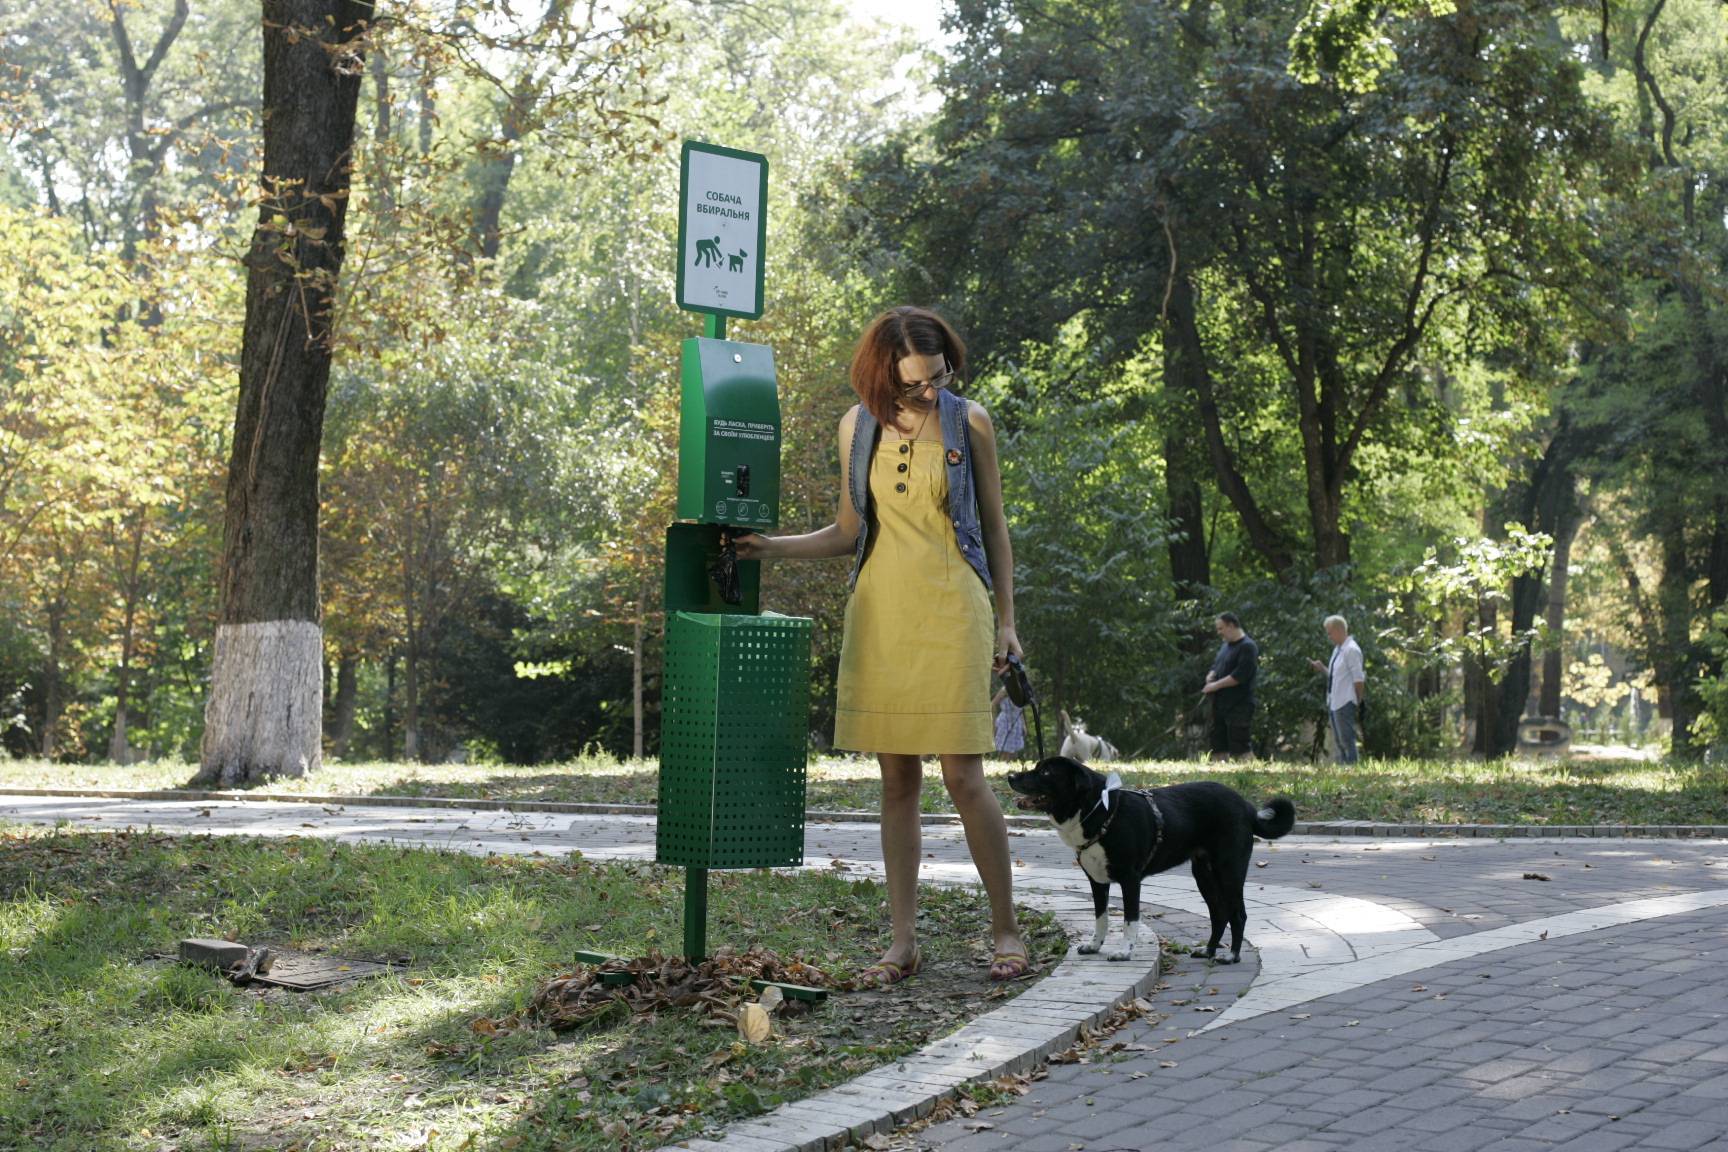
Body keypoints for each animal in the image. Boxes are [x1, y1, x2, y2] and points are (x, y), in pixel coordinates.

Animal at [1009, 756, 1292, 967]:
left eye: (1046, 772)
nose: (1010, 776)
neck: (1101, 809)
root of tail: (1247, 807)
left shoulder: (1130, 879)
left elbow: (1129, 919)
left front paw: (1124, 952)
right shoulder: (1097, 880)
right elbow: (1101, 918)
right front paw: (1095, 945)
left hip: (1229, 870)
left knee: (1238, 914)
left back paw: (1231, 955)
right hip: (1204, 873)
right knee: (1219, 913)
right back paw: (1209, 951)